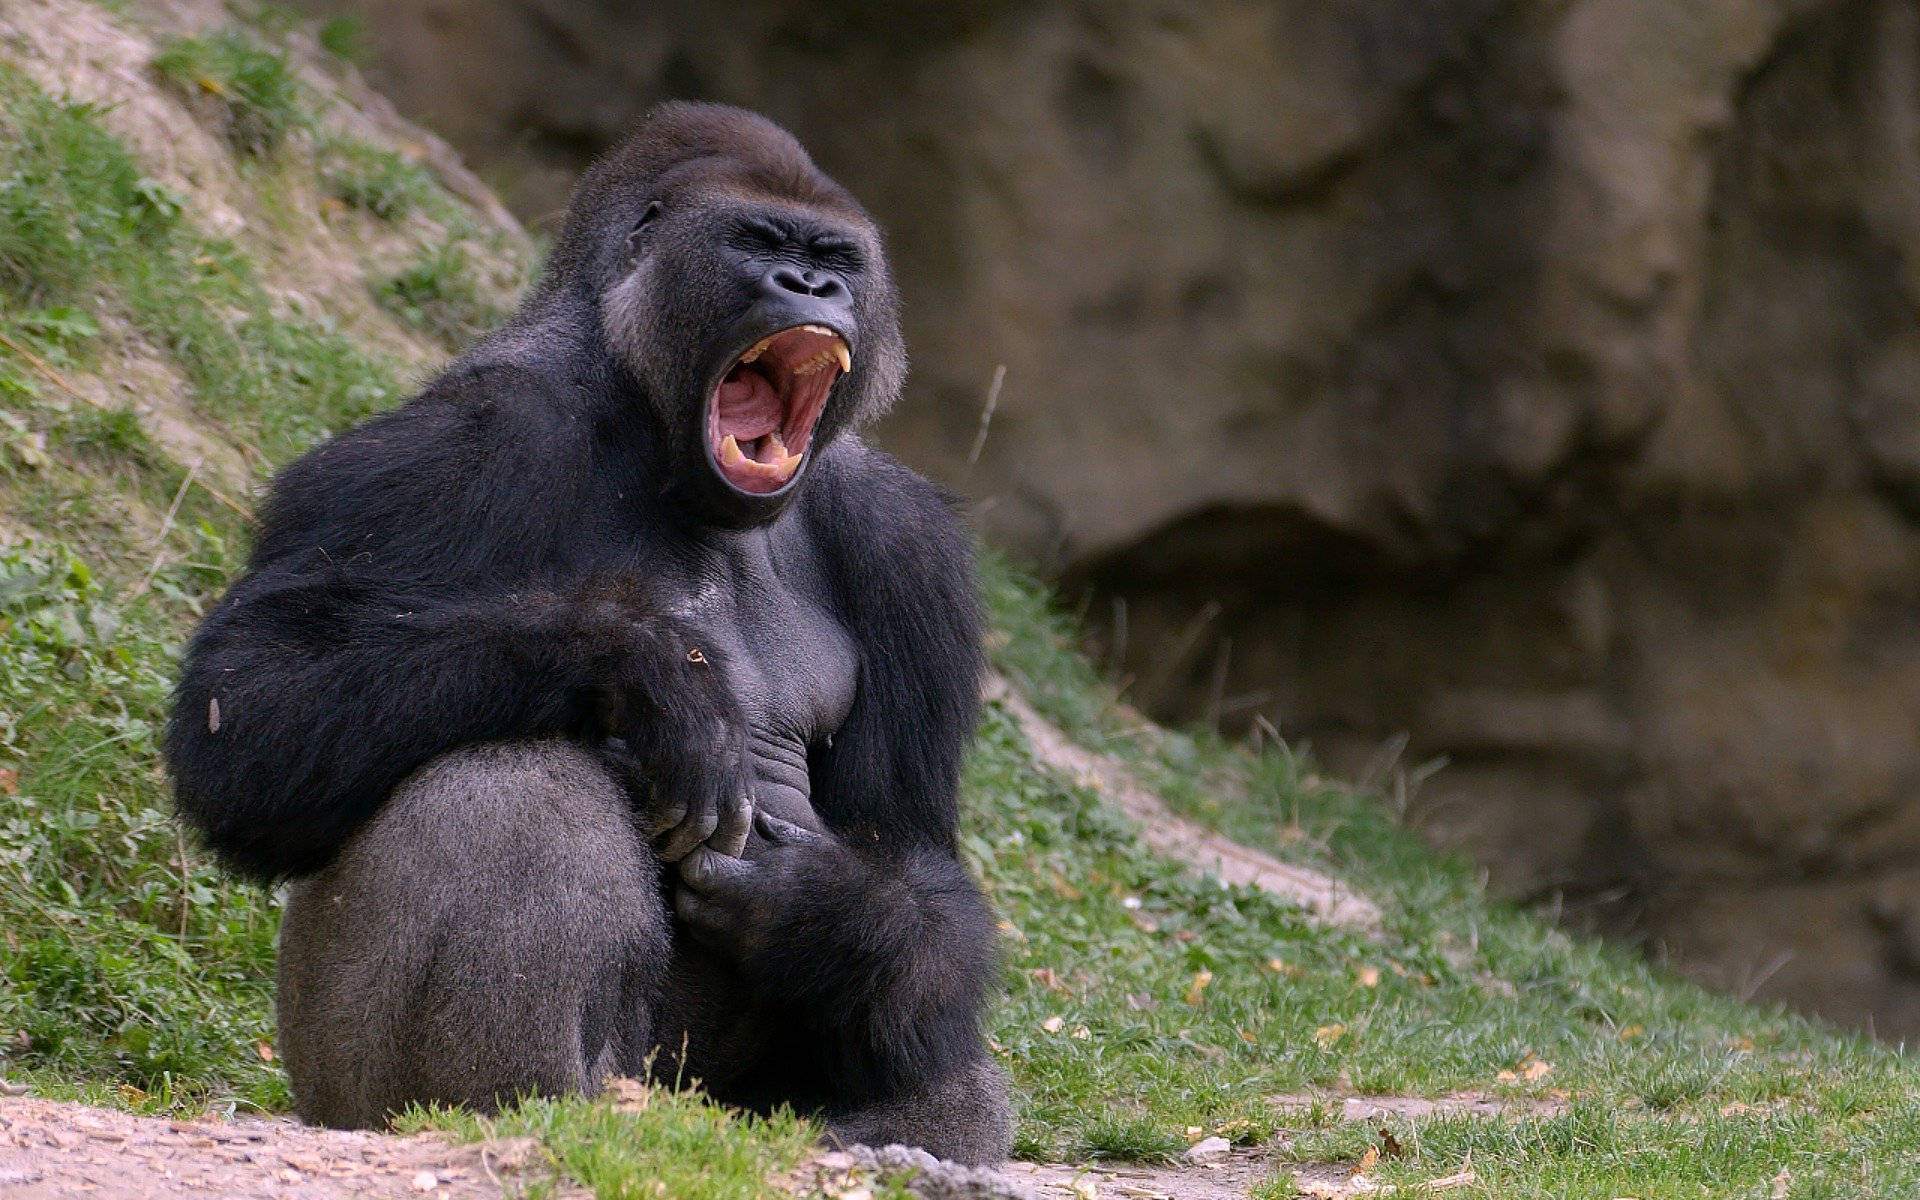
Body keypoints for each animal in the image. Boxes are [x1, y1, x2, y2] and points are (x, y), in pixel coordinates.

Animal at [161, 100, 1021, 1159]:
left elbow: (903, 848)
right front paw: (649, 673)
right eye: (758, 242)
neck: (650, 421)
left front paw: (821, 909)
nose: (812, 287)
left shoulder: (909, 543)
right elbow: (248, 704)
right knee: (521, 784)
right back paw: (538, 1112)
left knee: (945, 1064)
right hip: (350, 1086)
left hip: (736, 1107)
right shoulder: (474, 431)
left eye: (835, 258)